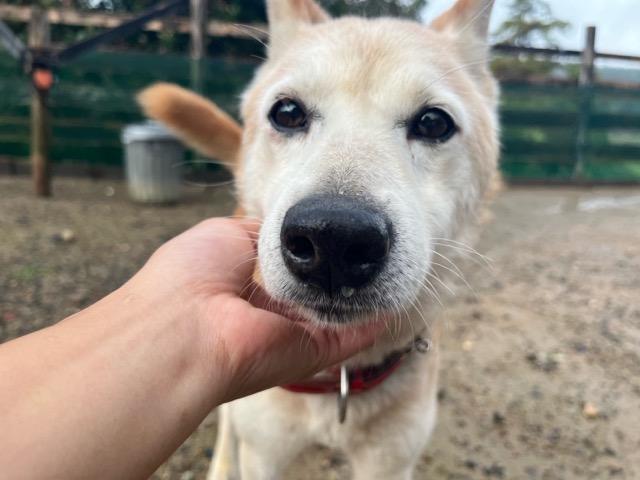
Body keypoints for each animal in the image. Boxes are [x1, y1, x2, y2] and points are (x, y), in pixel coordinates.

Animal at [138, 0, 499, 477]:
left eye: (433, 122)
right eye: (287, 113)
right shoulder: (263, 453)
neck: (340, 379)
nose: (334, 238)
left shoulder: (390, 461)